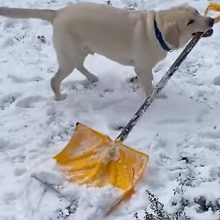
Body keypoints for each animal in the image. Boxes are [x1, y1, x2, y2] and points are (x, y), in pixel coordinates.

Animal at [0, 2, 214, 100]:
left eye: (196, 12)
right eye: (189, 21)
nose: (212, 20)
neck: (156, 30)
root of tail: (58, 12)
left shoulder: (144, 69)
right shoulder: (142, 68)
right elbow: (148, 86)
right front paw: (153, 96)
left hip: (79, 51)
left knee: (80, 65)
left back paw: (92, 77)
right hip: (69, 55)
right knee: (55, 79)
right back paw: (59, 97)